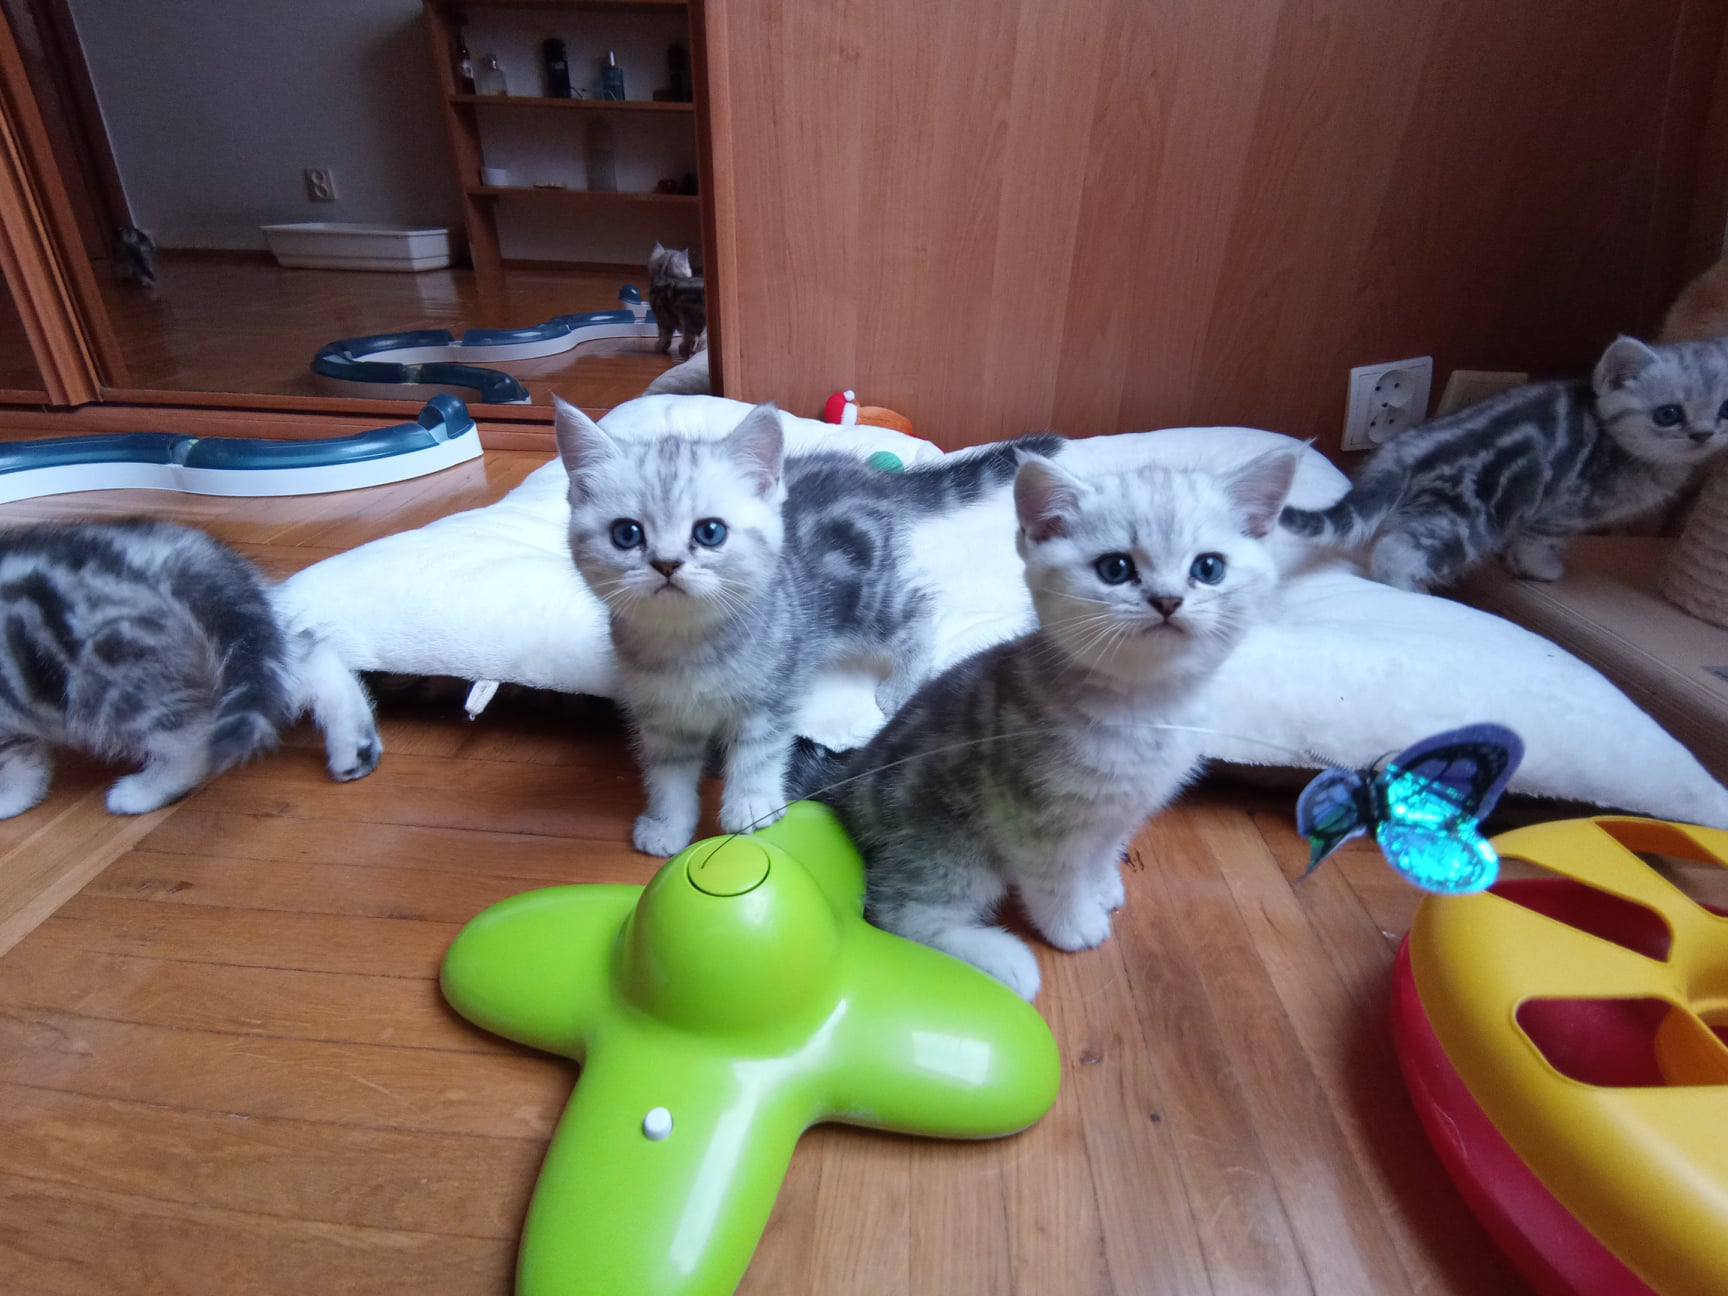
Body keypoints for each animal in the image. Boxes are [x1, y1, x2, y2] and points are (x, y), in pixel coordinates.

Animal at [0, 519, 380, 818]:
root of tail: (166, 555)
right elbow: (27, 764)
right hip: (246, 645)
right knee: (313, 660)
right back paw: (354, 746)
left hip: (100, 685)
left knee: (190, 741)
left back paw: (143, 792)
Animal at [553, 396, 1062, 857]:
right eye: (627, 534)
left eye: (710, 532)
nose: (666, 564)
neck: (689, 645)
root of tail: (875, 476)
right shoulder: (661, 718)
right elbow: (667, 775)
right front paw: (667, 827)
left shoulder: (771, 693)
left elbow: (757, 752)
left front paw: (750, 804)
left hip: (862, 597)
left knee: (917, 610)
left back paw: (901, 685)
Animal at [788, 448, 1299, 1000]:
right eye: (1116, 568)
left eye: (1208, 567)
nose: (1167, 600)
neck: (1144, 708)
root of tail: (848, 776)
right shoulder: (1032, 821)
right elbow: (1054, 883)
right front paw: (1073, 925)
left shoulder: (1123, 807)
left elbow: (1102, 851)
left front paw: (1101, 885)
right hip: (950, 839)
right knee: (898, 909)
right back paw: (1002, 957)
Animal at [1279, 335, 1728, 591]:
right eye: (1668, 414)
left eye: (1724, 410)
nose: (1702, 434)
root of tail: (1404, 449)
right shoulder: (1561, 511)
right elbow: (1538, 543)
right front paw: (1541, 568)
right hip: (1472, 518)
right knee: (1396, 551)